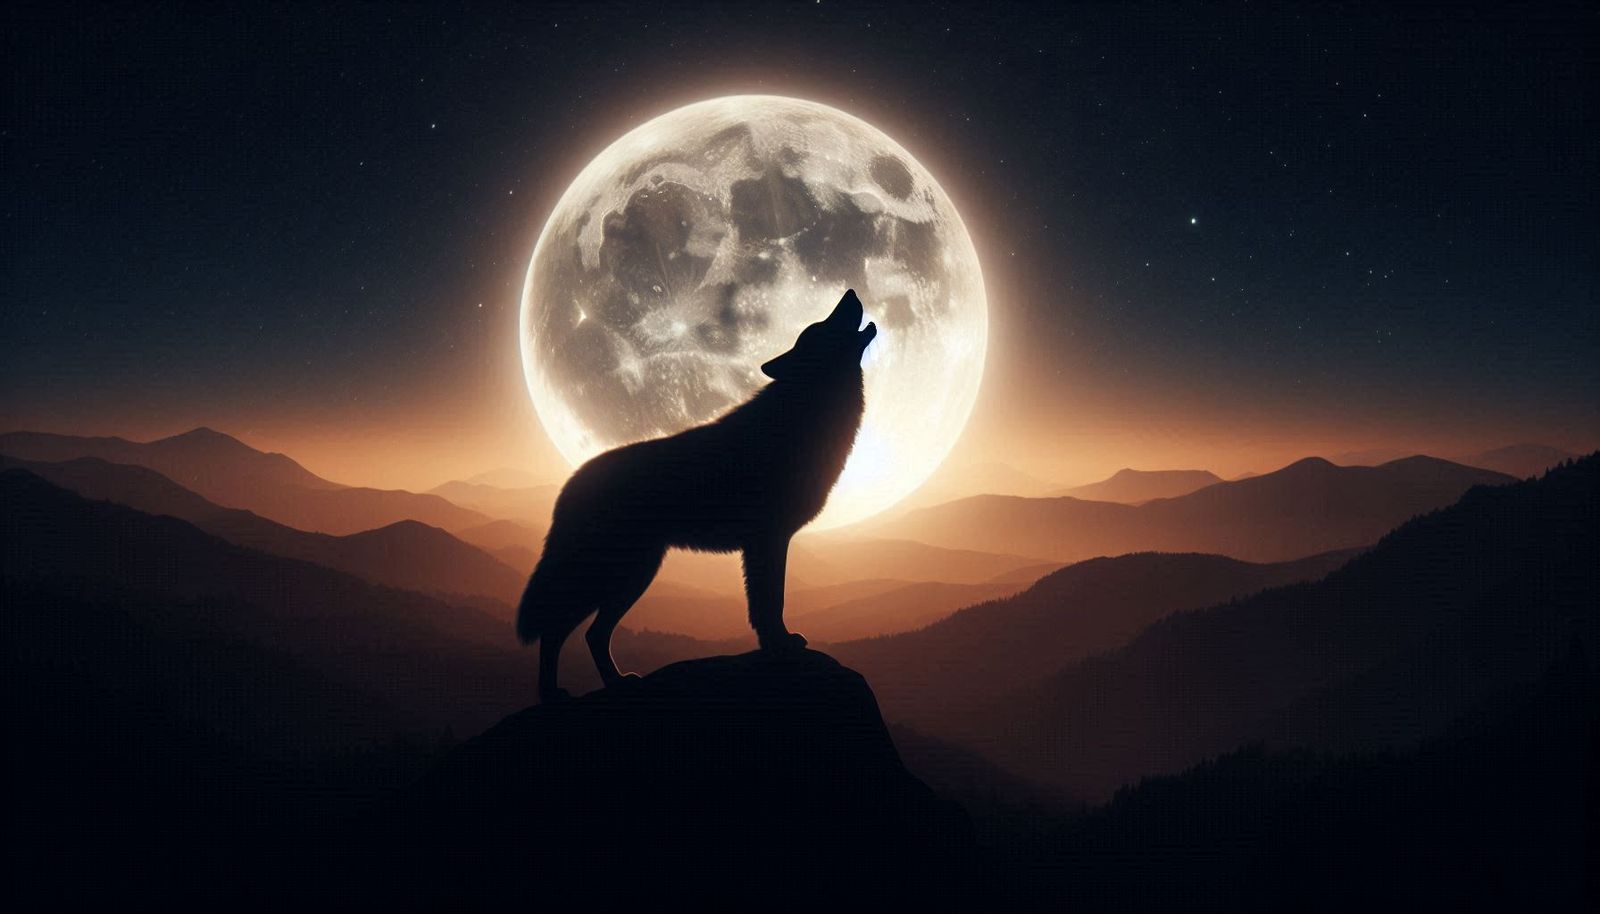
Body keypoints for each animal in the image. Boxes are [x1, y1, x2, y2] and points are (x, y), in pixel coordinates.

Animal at [516, 289, 878, 701]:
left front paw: (776, 645)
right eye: (822, 327)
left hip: (632, 576)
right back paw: (551, 695)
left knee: (593, 634)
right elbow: (770, 603)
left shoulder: (768, 542)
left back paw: (617, 682)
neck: (803, 416)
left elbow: (769, 603)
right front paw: (779, 647)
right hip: (615, 574)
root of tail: (570, 485)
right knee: (555, 630)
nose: (850, 293)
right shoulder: (766, 541)